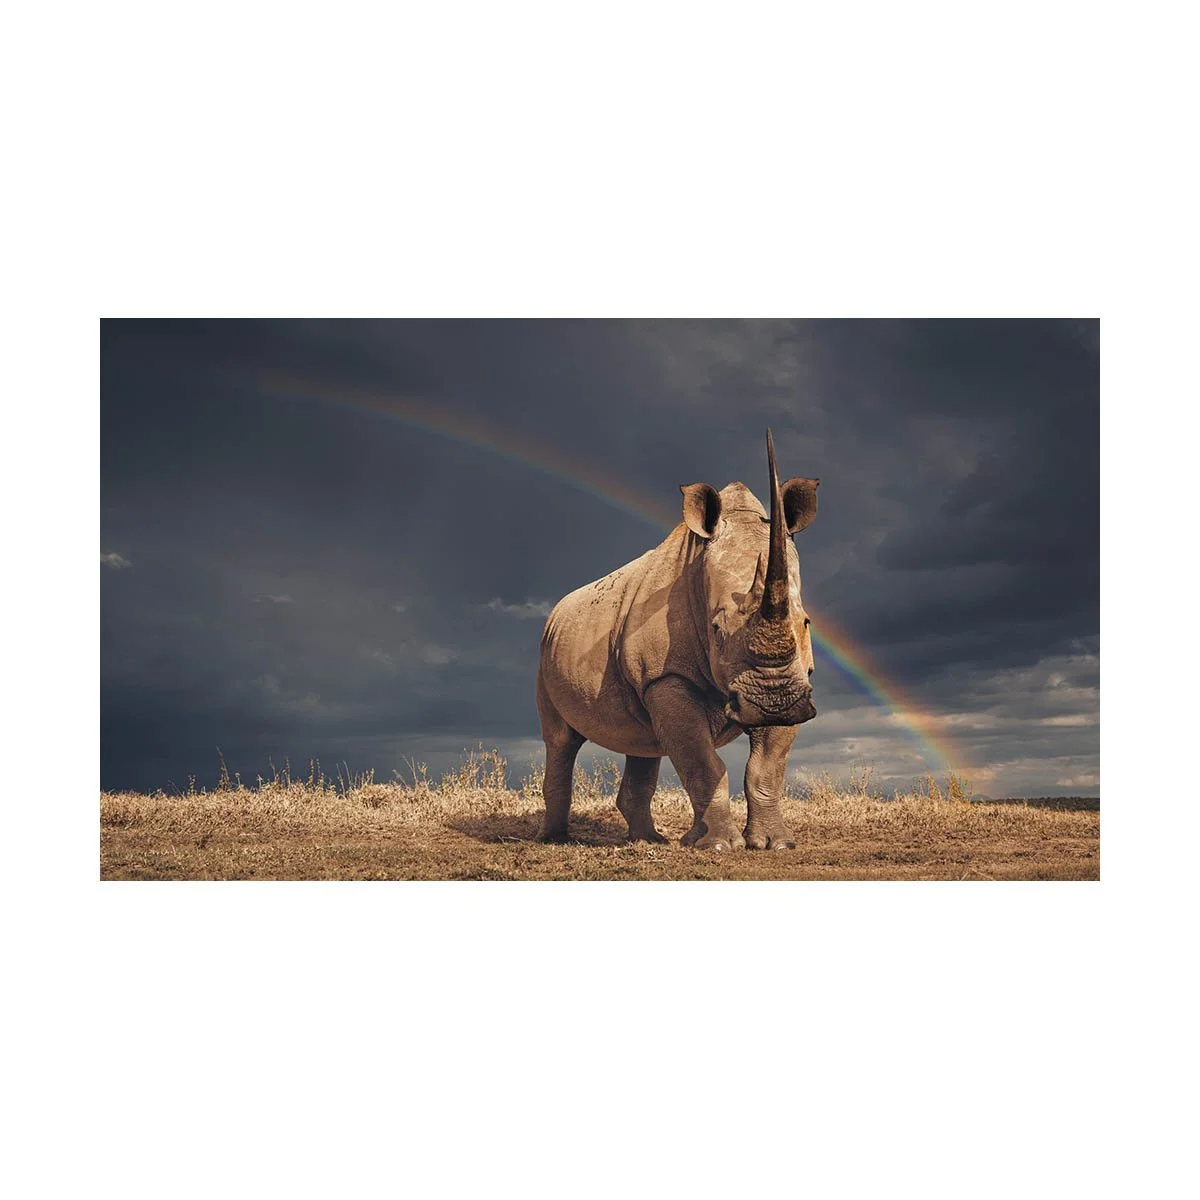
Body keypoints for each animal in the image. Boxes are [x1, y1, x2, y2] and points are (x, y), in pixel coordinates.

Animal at [536, 430, 819, 851]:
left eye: (805, 622)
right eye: (716, 629)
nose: (773, 703)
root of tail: (556, 613)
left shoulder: (798, 679)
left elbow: (765, 769)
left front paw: (774, 844)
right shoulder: (666, 675)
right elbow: (703, 764)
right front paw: (719, 846)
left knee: (643, 740)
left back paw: (649, 841)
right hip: (545, 655)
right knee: (561, 741)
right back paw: (554, 840)